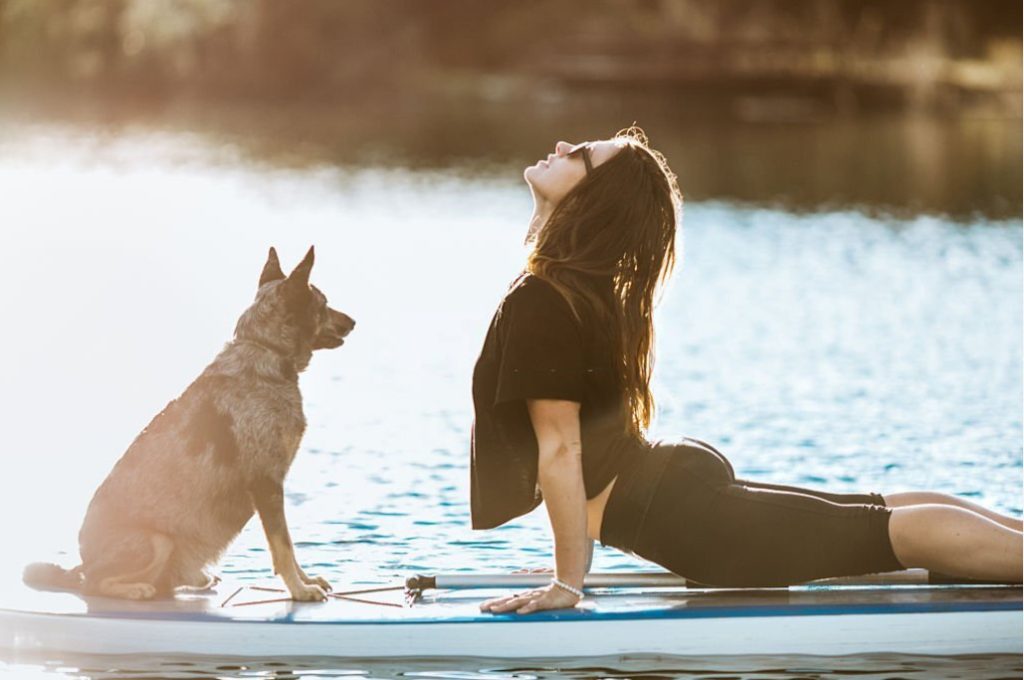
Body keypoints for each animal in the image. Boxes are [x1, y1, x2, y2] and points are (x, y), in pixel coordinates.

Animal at [24, 245, 354, 602]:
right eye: (323, 303)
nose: (353, 321)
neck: (265, 350)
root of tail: (83, 562)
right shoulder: (266, 483)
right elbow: (283, 546)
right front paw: (299, 589)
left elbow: (289, 548)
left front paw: (306, 580)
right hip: (158, 541)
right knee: (95, 583)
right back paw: (136, 589)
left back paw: (195, 579)